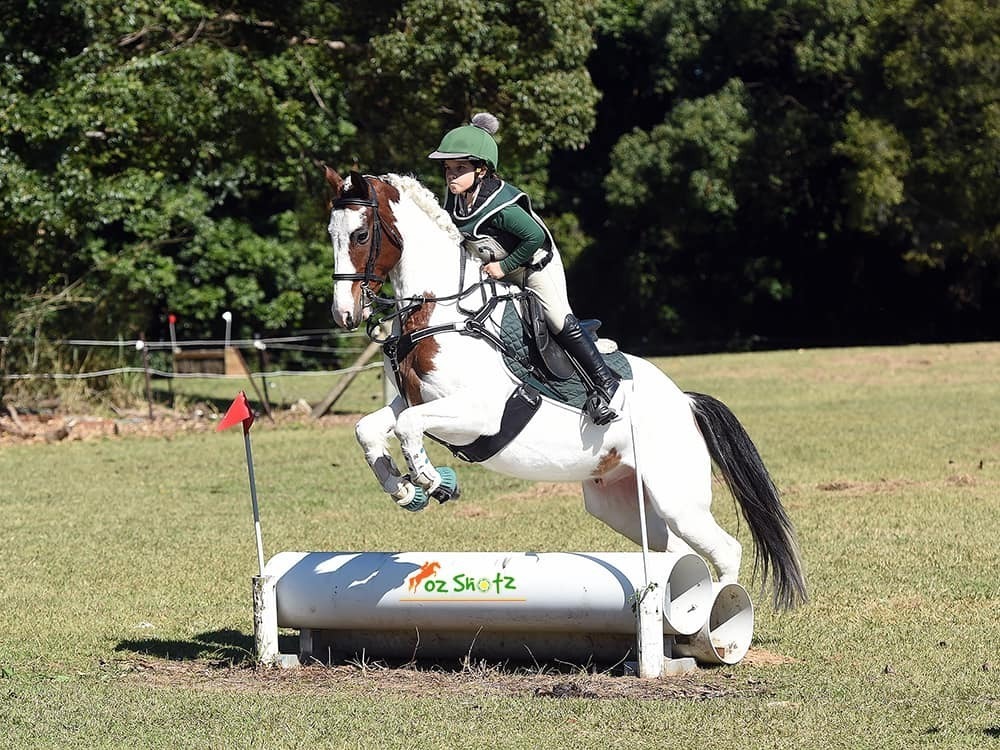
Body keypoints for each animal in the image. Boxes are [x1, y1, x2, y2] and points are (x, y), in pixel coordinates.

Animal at [324, 168, 807, 610]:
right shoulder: (411, 399)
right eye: (331, 234)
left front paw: (433, 480)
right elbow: (370, 429)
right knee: (677, 552)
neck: (442, 311)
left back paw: (722, 628)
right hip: (617, 502)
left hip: (678, 498)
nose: (344, 314)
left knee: (725, 550)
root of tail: (686, 403)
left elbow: (409, 426)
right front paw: (404, 490)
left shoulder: (479, 412)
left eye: (361, 234)